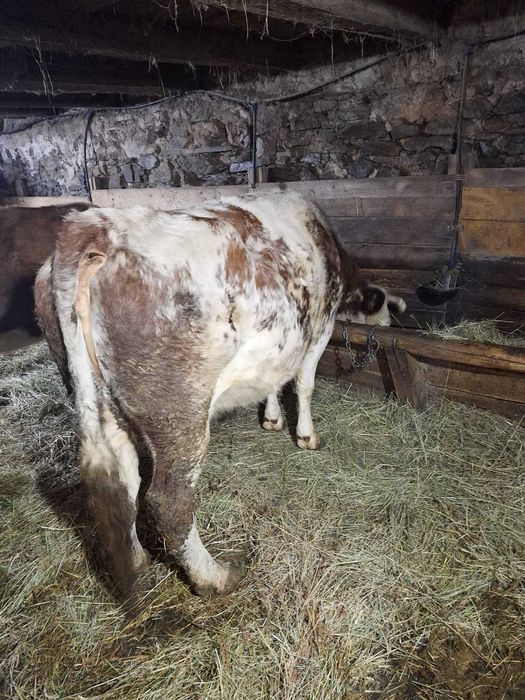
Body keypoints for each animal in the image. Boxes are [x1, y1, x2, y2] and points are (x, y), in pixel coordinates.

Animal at [34, 192, 405, 597]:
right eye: (385, 312)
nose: (389, 326)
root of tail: (94, 226)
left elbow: (273, 381)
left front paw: (272, 418)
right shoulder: (320, 327)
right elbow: (303, 382)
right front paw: (306, 435)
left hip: (103, 401)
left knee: (125, 481)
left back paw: (138, 558)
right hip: (179, 413)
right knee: (169, 502)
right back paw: (214, 577)